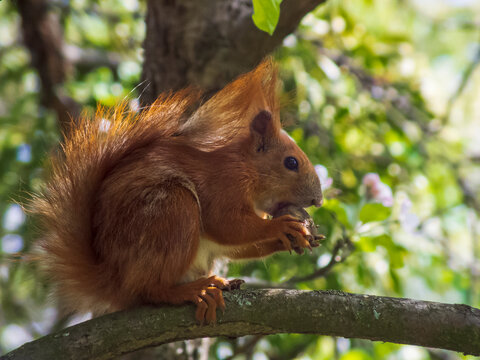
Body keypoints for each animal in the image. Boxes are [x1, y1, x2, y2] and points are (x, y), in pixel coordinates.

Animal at [32, 59, 322, 324]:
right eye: (291, 163)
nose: (318, 200)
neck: (248, 168)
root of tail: (114, 280)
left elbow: (237, 246)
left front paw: (294, 237)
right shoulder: (224, 183)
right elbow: (225, 224)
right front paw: (281, 227)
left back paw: (218, 282)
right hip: (172, 212)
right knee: (149, 290)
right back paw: (191, 291)